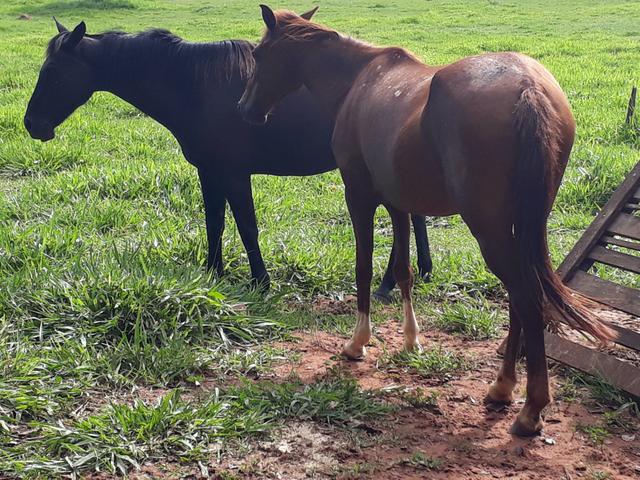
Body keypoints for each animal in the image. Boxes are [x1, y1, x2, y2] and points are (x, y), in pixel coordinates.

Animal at [25, 20, 436, 298]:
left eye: (54, 73)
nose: (32, 124)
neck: (193, 86)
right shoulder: (210, 172)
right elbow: (215, 223)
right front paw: (213, 272)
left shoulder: (235, 175)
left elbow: (246, 226)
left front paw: (261, 281)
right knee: (415, 217)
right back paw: (421, 271)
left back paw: (388, 284)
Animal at [239, 5, 616, 436]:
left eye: (259, 54)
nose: (245, 109)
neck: (358, 81)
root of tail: (528, 87)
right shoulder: (399, 204)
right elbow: (404, 271)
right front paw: (410, 340)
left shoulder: (359, 197)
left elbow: (364, 268)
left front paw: (358, 342)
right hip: (521, 227)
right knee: (520, 299)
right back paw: (502, 387)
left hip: (489, 231)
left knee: (525, 296)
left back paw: (529, 409)